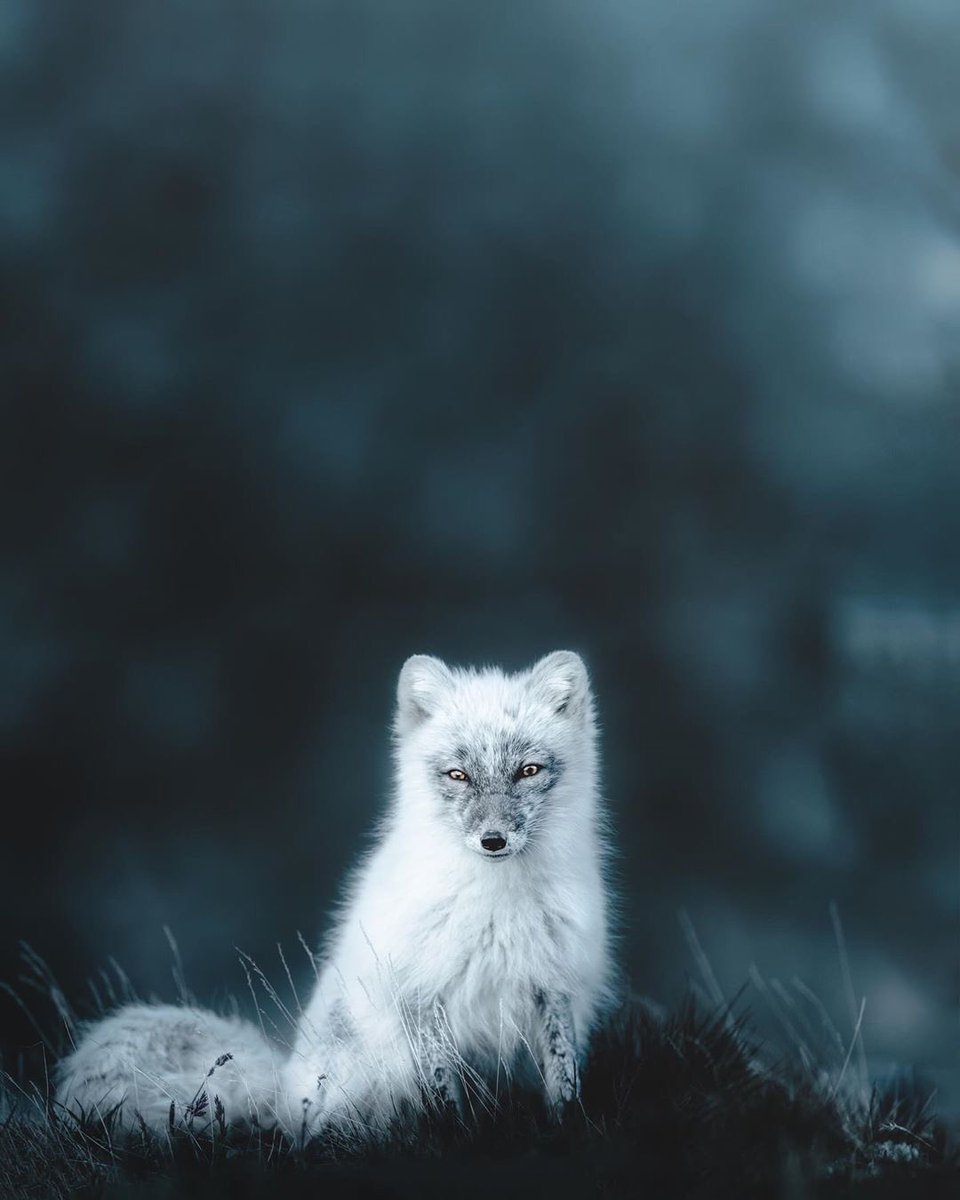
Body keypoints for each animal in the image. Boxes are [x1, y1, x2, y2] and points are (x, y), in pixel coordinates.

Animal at [55, 650, 615, 1138]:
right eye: (458, 775)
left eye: (528, 770)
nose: (492, 841)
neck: (496, 911)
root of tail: (280, 1090)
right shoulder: (421, 994)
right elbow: (442, 1092)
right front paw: (455, 1138)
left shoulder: (553, 985)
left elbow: (563, 1078)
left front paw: (568, 1131)